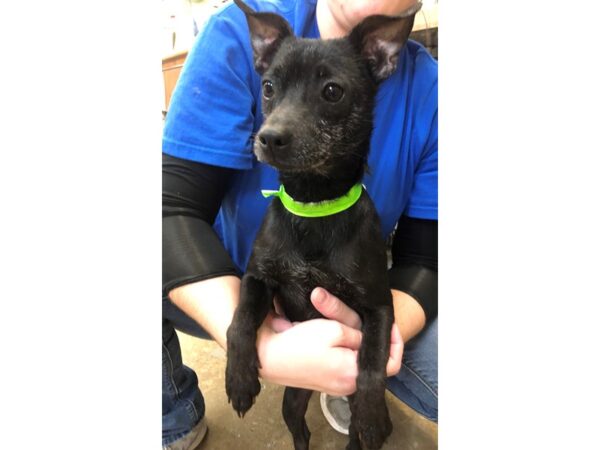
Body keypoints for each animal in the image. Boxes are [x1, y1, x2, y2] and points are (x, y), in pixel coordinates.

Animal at [227, 1, 420, 448]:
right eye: (268, 87)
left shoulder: (378, 306)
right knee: (300, 431)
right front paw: (239, 379)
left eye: (332, 91)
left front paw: (369, 413)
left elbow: (371, 360)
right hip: (292, 400)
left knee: (356, 437)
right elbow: (240, 320)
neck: (314, 206)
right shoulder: (258, 278)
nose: (268, 137)